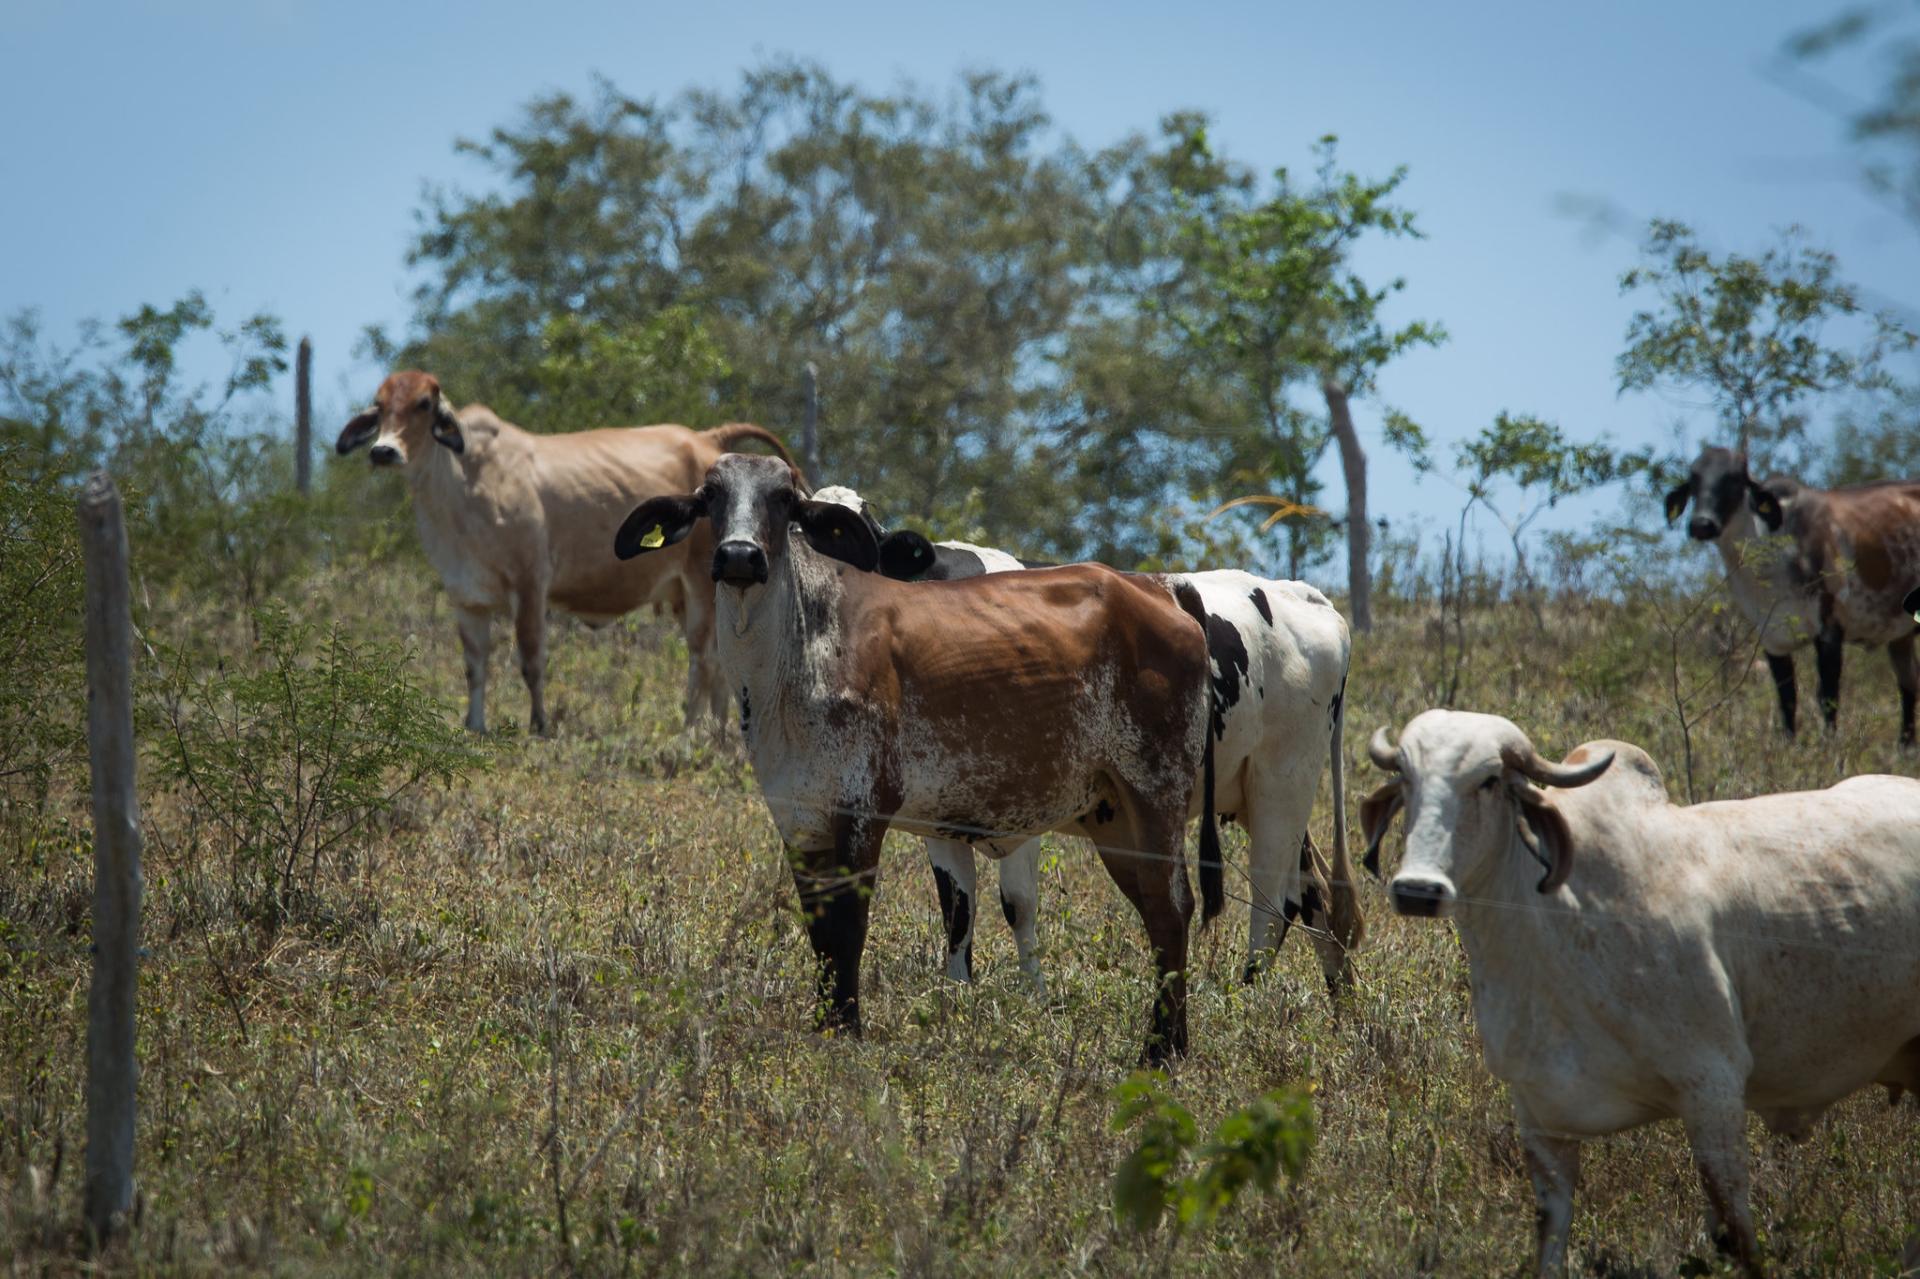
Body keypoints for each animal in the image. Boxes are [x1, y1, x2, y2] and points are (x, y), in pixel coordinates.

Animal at [337, 368, 794, 733]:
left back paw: (691, 732)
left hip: (701, 581)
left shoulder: (530, 584)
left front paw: (539, 725)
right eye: (380, 406)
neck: (461, 484)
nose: (383, 450)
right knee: (719, 660)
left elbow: (531, 659)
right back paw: (720, 733)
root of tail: (706, 438)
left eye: (423, 404)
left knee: (703, 658)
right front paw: (475, 725)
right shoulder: (466, 596)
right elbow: (474, 665)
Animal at [606, 455, 1221, 1052]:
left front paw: (848, 1031)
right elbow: (821, 929)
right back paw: (1167, 1041)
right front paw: (826, 1026)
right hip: (1113, 816)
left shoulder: (862, 809)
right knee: (1156, 912)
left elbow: (849, 926)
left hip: (1155, 791)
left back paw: (1162, 1051)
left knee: (1172, 907)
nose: (739, 555)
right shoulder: (799, 819)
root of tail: (1158, 590)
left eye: (783, 499)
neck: (793, 662)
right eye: (711, 494)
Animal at [810, 483, 1367, 990]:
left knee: (1275, 903)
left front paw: (1033, 997)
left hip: (1283, 781)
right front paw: (958, 997)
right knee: (1315, 894)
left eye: (849, 543)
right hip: (1253, 791)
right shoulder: (938, 813)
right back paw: (1338, 1007)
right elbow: (957, 911)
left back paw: (1246, 997)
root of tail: (1303, 595)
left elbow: (1017, 904)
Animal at [1359, 706, 1920, 1275]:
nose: (1418, 891)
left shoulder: (1713, 1088)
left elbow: (1737, 1233)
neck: (1556, 925)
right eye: (1406, 777)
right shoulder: (1541, 1118)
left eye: (1490, 780)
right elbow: (1549, 1235)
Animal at [1666, 445, 1920, 741]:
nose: (1701, 524)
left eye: (1734, 480)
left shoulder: (1829, 631)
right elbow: (1787, 702)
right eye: (1694, 481)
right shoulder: (1772, 640)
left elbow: (1828, 699)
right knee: (1908, 686)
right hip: (1899, 636)